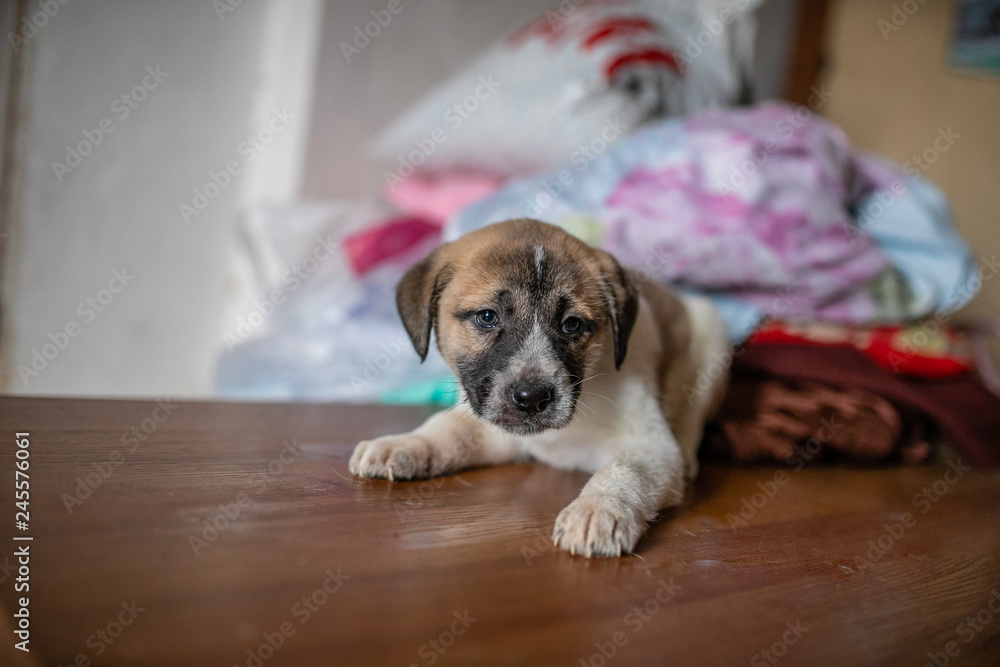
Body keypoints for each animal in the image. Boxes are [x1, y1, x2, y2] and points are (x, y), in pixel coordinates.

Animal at [350, 219, 728, 560]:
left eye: (572, 324)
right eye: (487, 317)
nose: (532, 399)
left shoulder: (650, 444)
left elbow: (624, 470)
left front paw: (597, 511)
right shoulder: (493, 429)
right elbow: (445, 429)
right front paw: (401, 445)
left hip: (712, 338)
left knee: (693, 417)